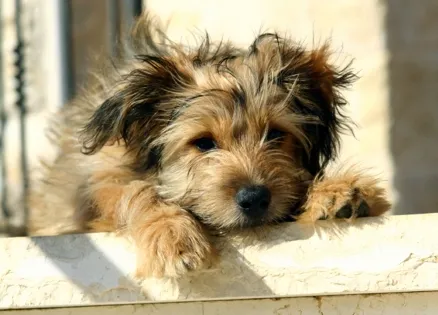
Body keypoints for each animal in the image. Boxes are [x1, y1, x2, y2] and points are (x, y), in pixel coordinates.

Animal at [27, 12, 390, 278]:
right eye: (203, 143)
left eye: (275, 134)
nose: (255, 198)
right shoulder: (101, 180)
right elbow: (133, 191)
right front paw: (173, 234)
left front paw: (336, 192)